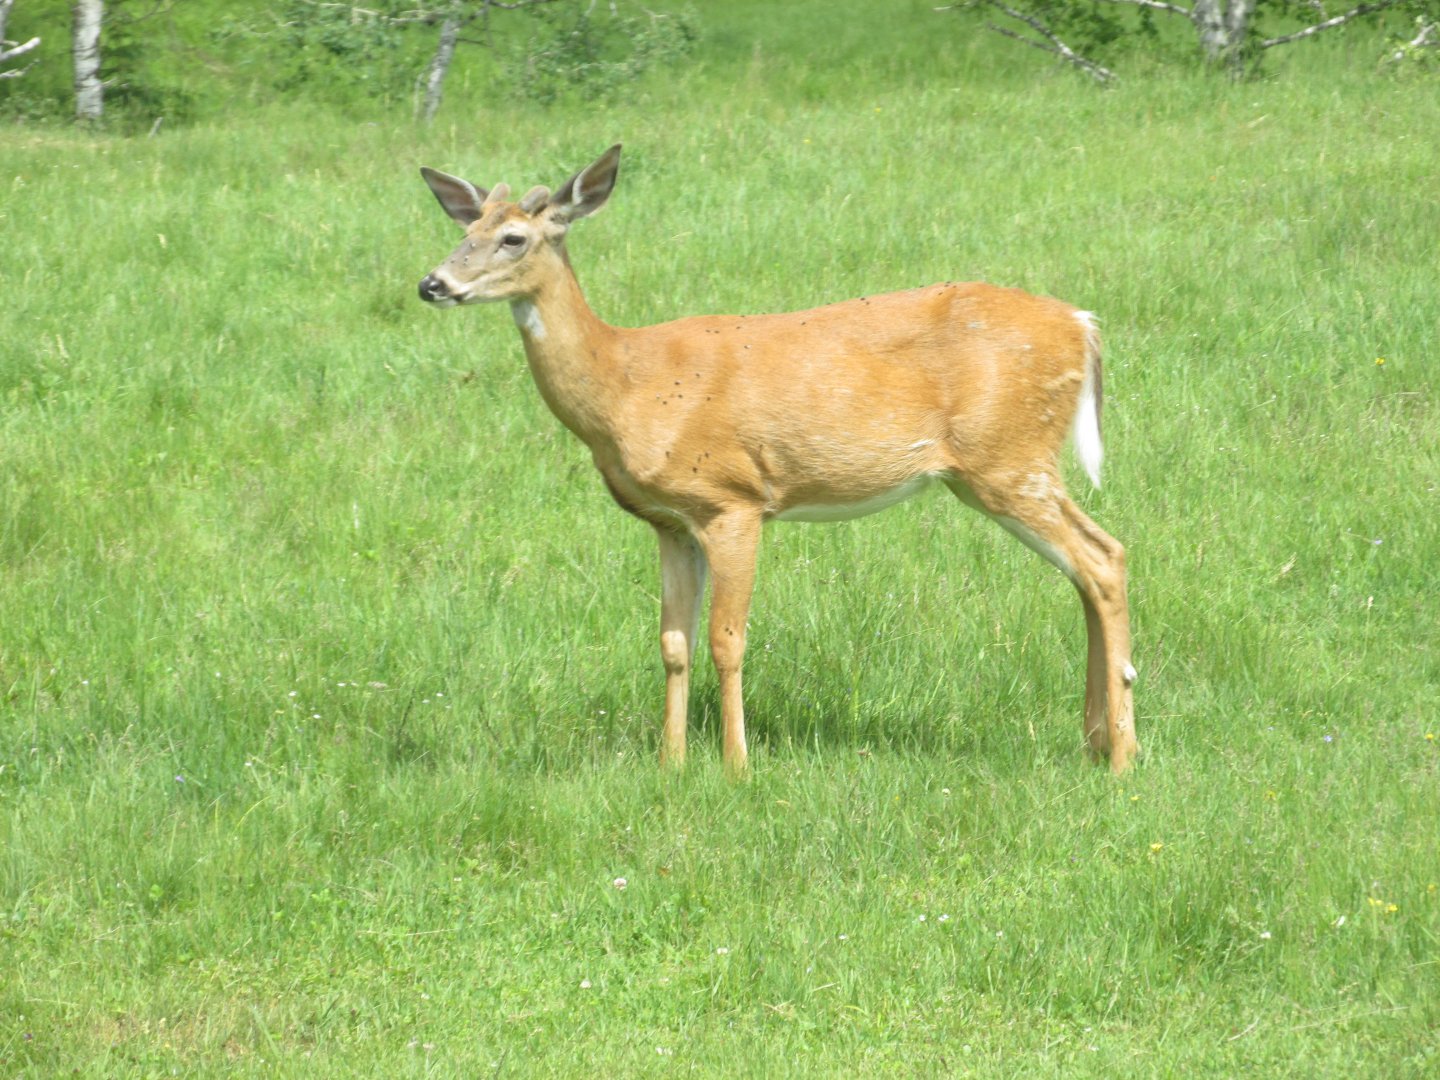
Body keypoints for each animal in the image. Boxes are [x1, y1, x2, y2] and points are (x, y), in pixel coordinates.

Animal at [416, 144, 1138, 776]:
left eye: (513, 238)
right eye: (465, 227)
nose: (433, 283)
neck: (624, 385)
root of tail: (1084, 324)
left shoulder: (732, 499)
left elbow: (726, 640)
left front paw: (736, 765)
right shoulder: (670, 521)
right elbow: (672, 643)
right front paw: (671, 763)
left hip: (1008, 458)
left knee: (1102, 559)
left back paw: (1123, 756)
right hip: (1004, 466)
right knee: (1092, 563)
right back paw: (1096, 741)